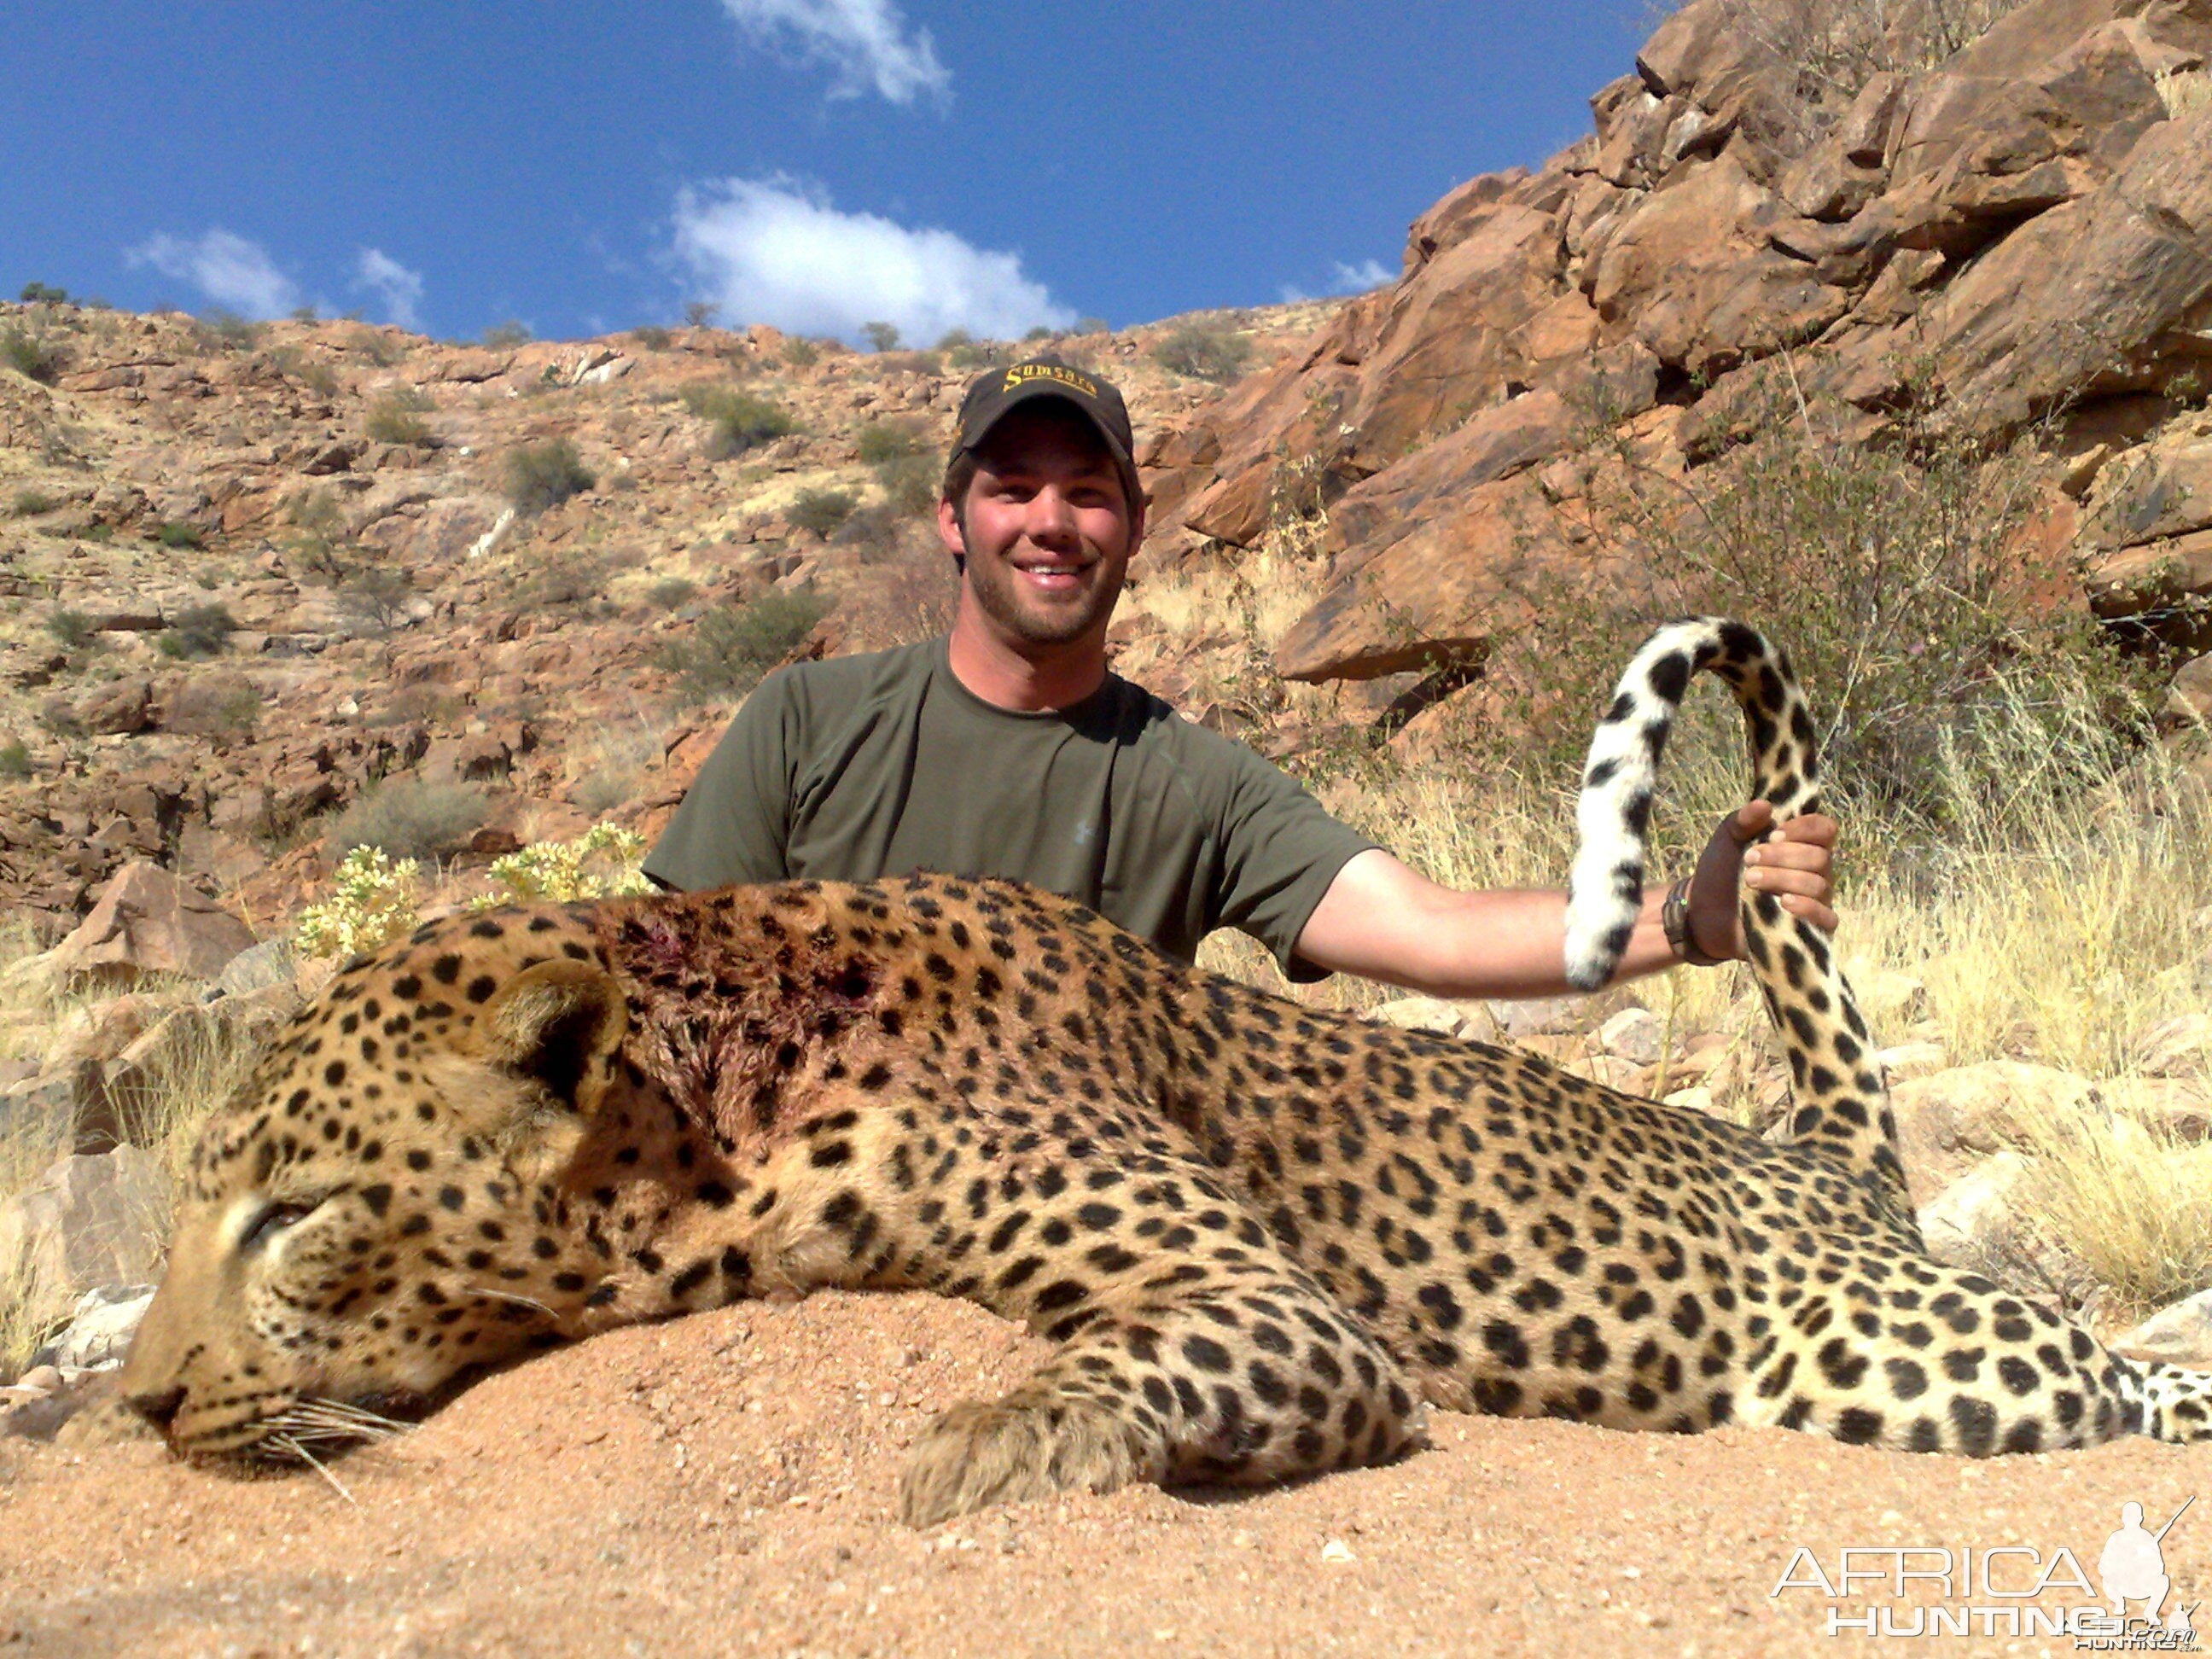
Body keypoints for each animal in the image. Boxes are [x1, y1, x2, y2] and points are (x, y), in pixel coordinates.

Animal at [120, 619, 2212, 1530]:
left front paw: (965, 1448)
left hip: (1889, 1353)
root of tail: (1812, 1148)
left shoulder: (1269, 1302)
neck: (721, 1103)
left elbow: (1124, 1365)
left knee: (2120, 1370)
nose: (137, 1404)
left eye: (293, 1213)